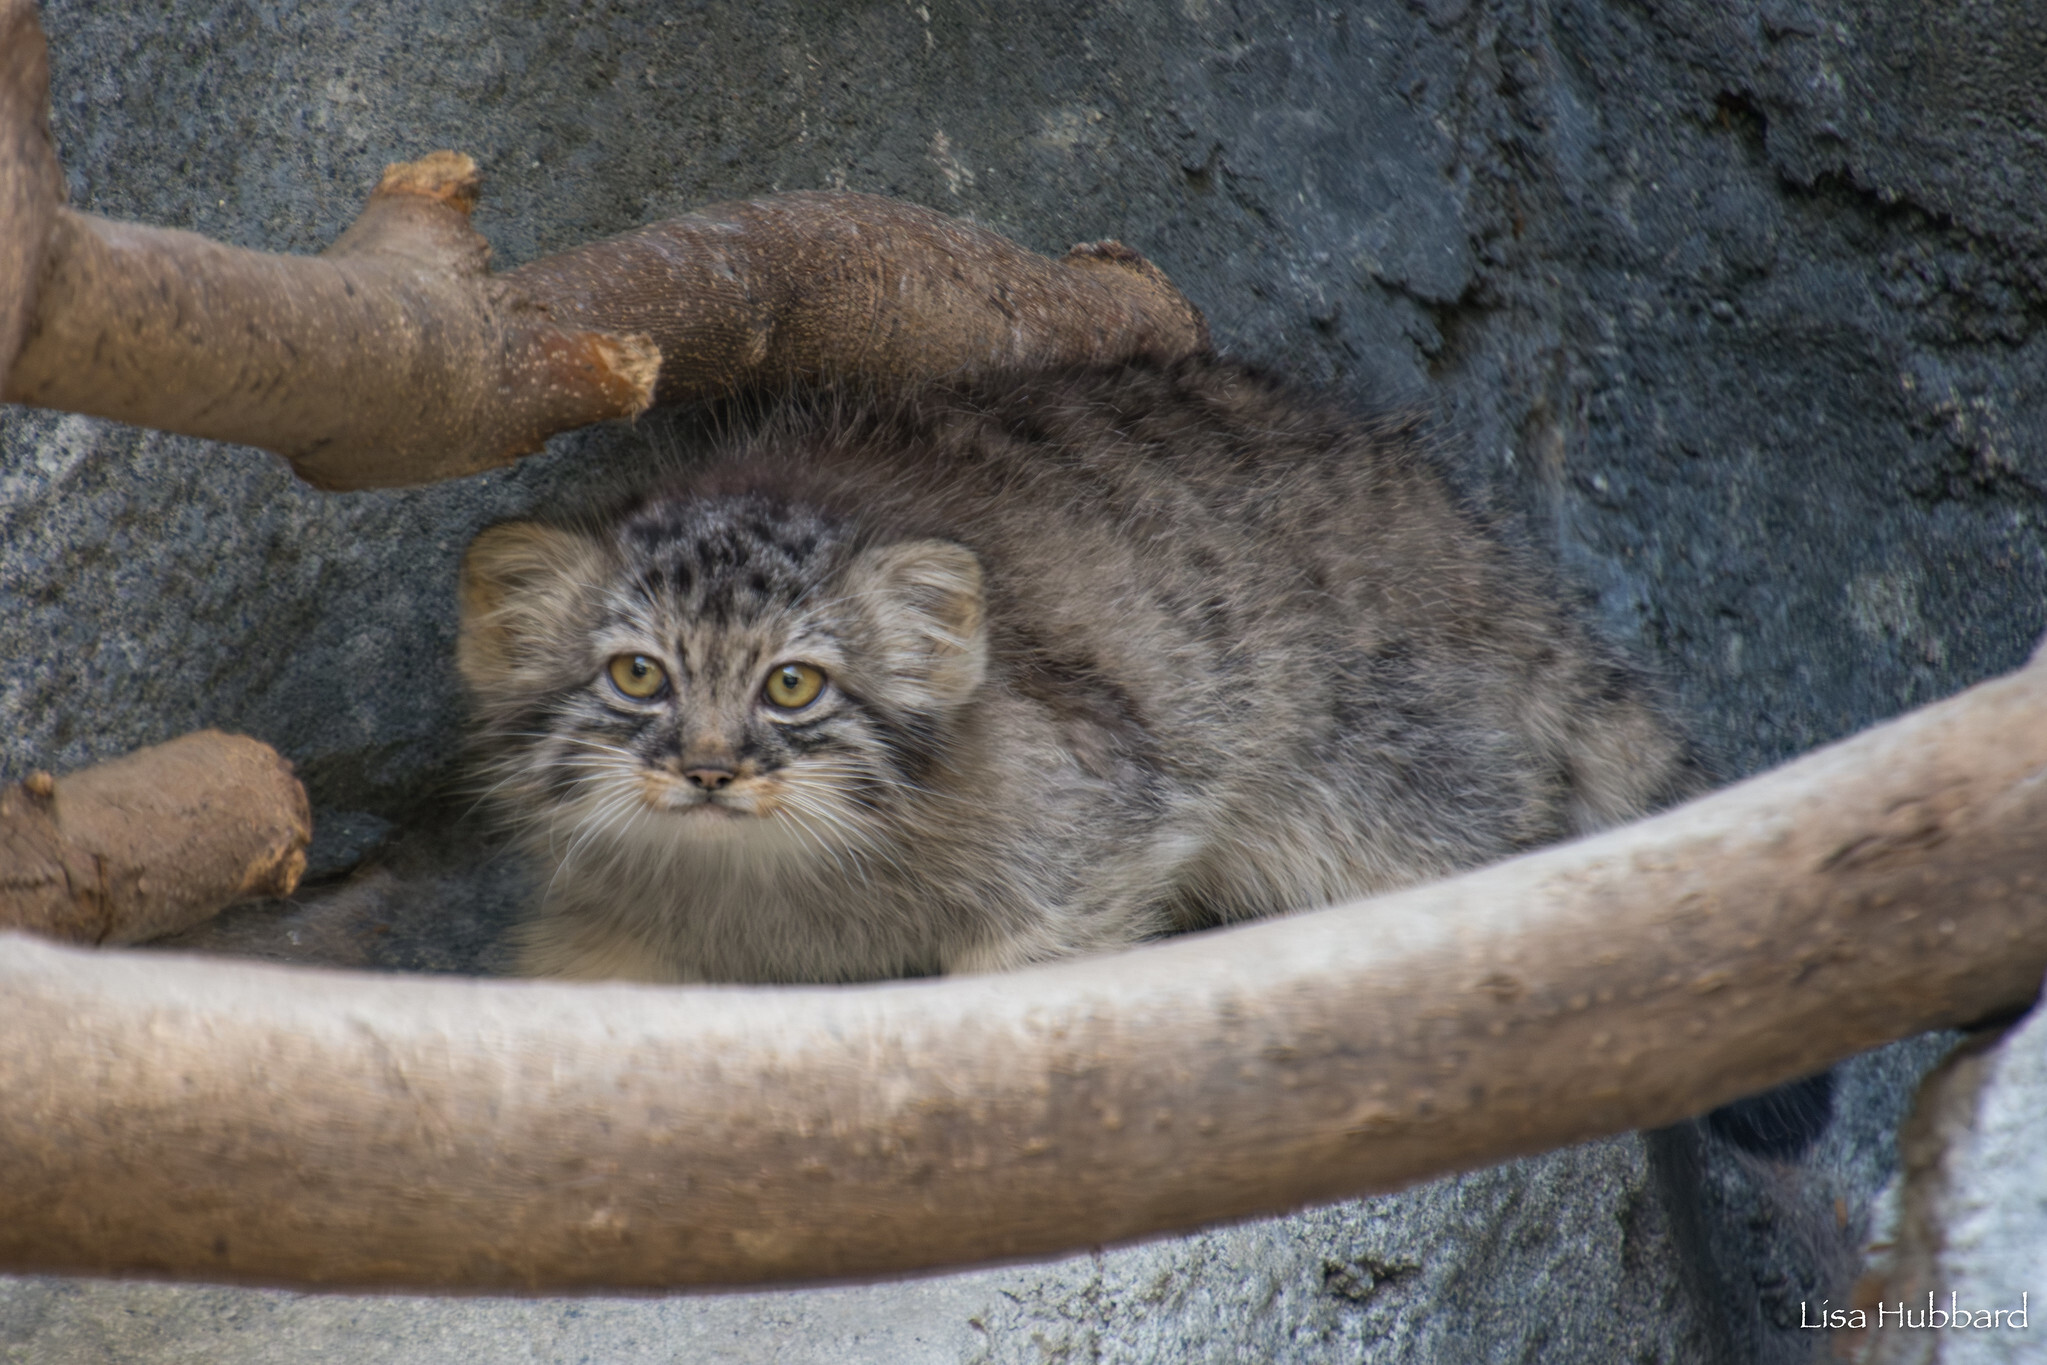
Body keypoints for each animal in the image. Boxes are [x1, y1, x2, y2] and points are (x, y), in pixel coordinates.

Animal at [464, 358, 1694, 986]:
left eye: (793, 686)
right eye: (637, 675)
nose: (710, 769)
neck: (768, 889)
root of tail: (1501, 565)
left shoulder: (1087, 839)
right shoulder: (598, 928)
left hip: (1392, 784)